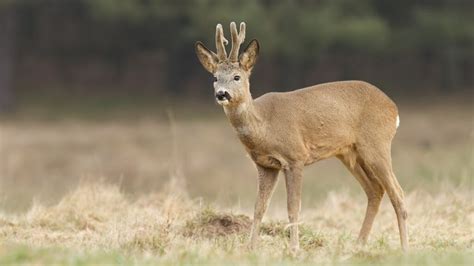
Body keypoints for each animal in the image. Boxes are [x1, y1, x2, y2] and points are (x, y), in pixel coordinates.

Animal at [195, 22, 408, 251]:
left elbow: (293, 207)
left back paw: (404, 248)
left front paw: (294, 248)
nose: (221, 94)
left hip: (377, 143)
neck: (264, 126)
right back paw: (358, 245)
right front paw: (250, 247)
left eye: (237, 77)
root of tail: (394, 109)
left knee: (398, 193)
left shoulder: (295, 156)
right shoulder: (265, 165)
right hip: (350, 153)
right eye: (215, 78)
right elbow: (259, 207)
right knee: (375, 190)